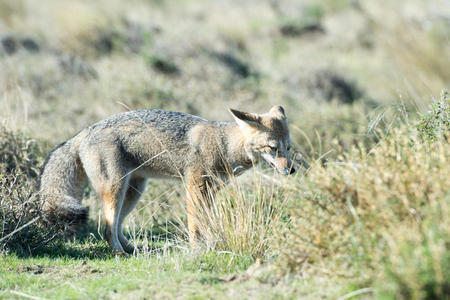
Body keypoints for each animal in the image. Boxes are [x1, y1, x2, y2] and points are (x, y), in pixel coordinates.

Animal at [39, 105, 296, 253]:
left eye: (288, 147)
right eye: (273, 148)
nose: (291, 170)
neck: (223, 145)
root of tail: (85, 131)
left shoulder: (211, 190)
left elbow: (207, 220)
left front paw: (209, 242)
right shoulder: (194, 186)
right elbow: (195, 222)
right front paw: (197, 247)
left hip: (133, 193)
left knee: (117, 225)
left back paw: (131, 248)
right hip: (116, 190)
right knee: (107, 228)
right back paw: (118, 252)